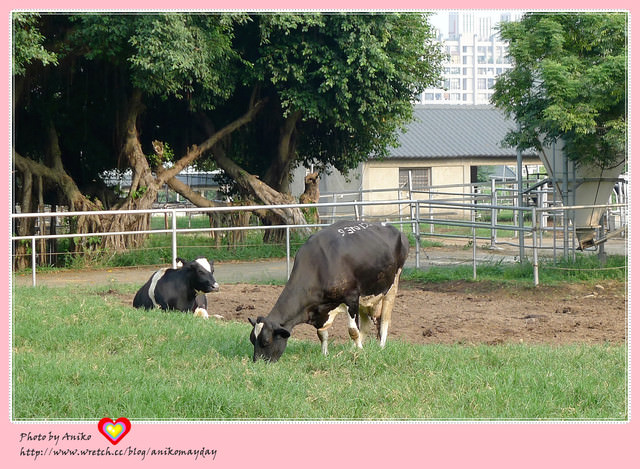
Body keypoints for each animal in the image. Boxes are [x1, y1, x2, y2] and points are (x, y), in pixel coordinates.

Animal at [248, 219, 408, 362]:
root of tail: (395, 229)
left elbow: (353, 330)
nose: (257, 363)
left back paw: (380, 346)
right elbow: (322, 334)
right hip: (367, 296)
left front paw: (360, 352)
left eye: (266, 341)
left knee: (385, 320)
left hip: (392, 285)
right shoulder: (321, 310)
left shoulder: (352, 298)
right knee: (367, 325)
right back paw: (352, 349)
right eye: (252, 340)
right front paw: (325, 354)